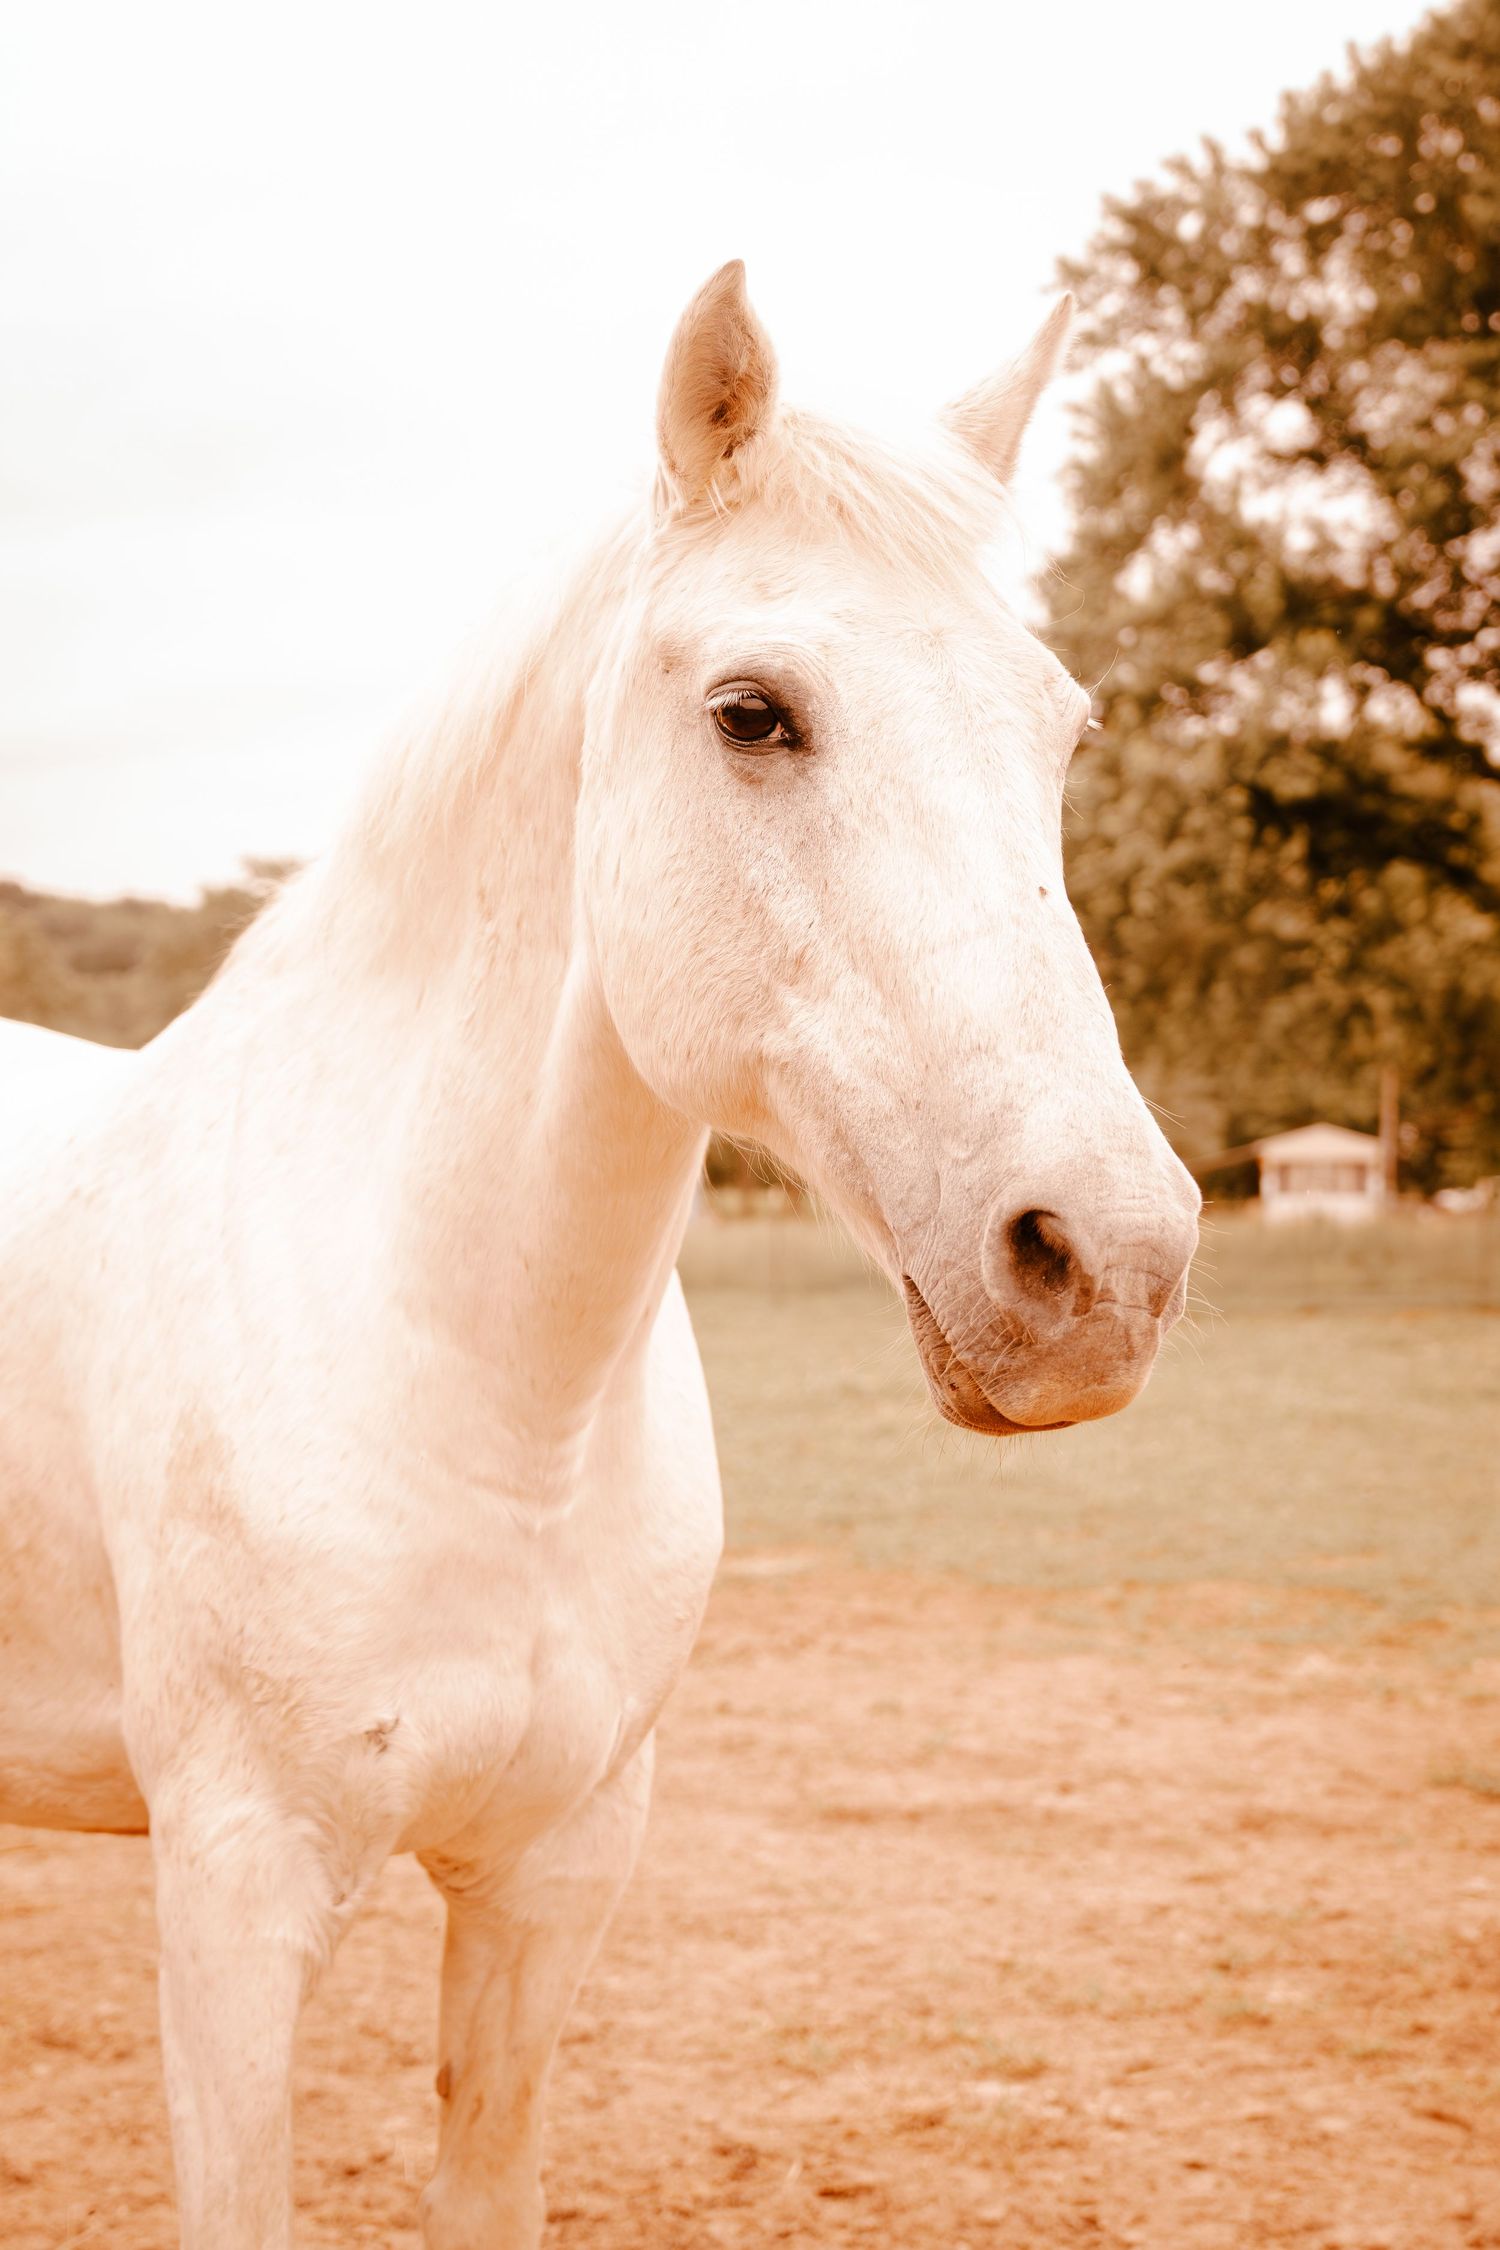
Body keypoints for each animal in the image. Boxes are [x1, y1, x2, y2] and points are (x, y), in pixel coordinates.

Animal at [0, 262, 1201, 2247]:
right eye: (753, 711)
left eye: (1064, 730)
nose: (1105, 1264)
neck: (488, 1405)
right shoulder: (234, 1905)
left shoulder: (549, 1883)